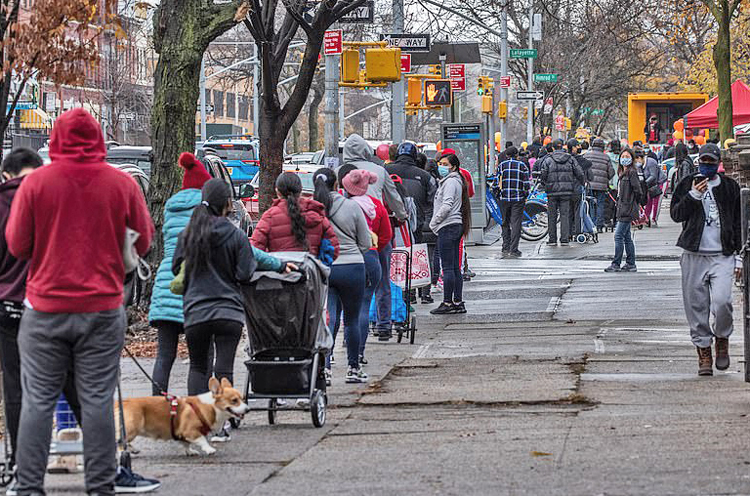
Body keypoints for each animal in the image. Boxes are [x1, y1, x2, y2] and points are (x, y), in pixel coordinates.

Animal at [115, 378, 250, 456]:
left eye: (243, 399)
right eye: (234, 400)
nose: (248, 409)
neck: (211, 407)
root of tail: (119, 402)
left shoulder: (182, 435)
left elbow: (186, 444)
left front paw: (190, 451)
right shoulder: (190, 431)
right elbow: (202, 439)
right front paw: (209, 449)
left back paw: (132, 450)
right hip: (132, 429)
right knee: (119, 442)